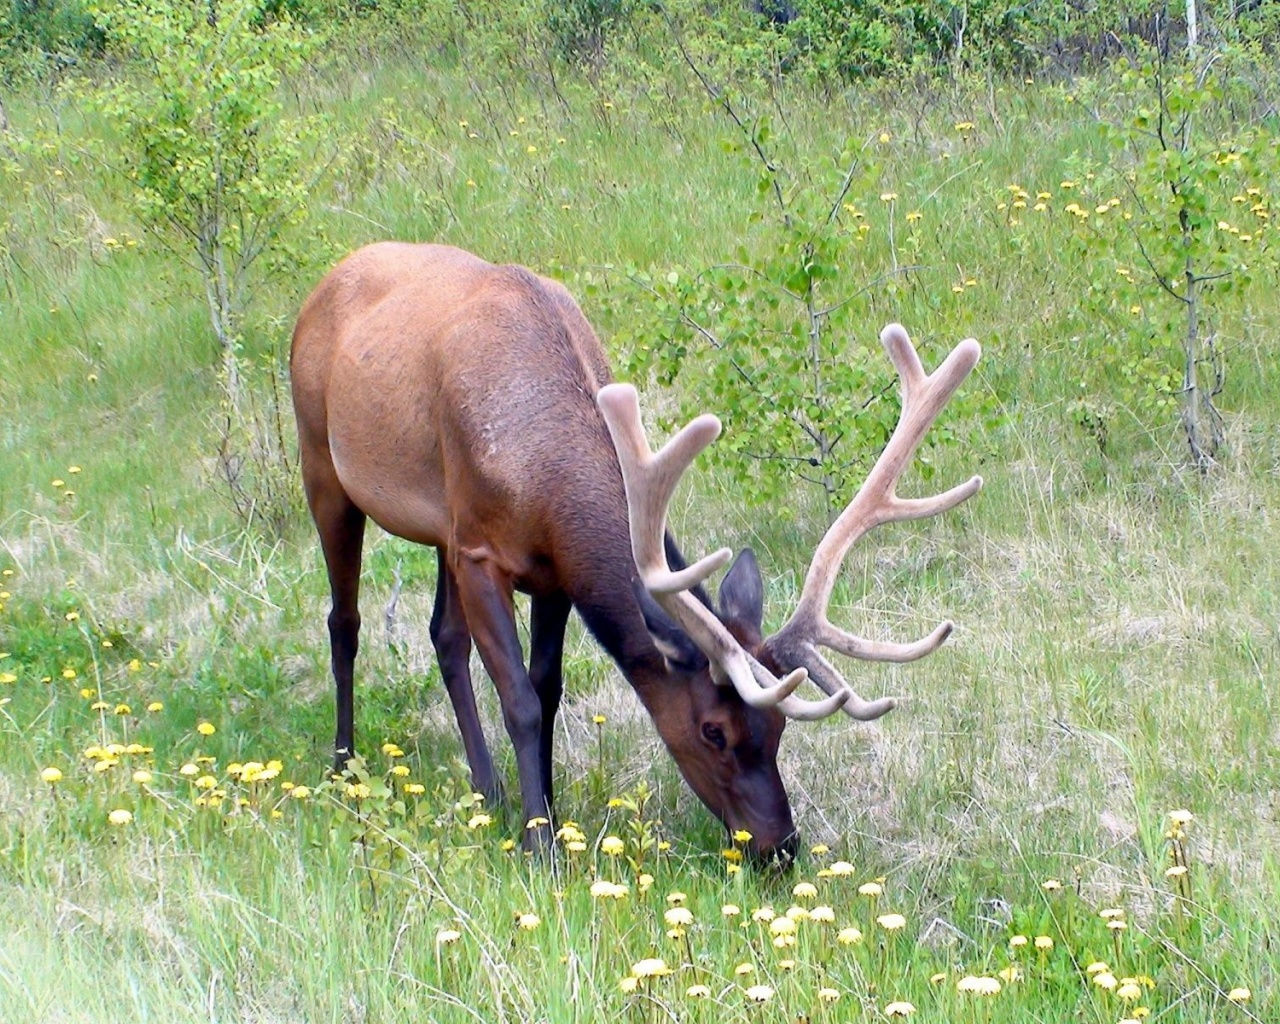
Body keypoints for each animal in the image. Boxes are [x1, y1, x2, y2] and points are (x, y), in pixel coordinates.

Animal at [290, 244, 977, 860]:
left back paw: (489, 791)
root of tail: (325, 281)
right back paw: (343, 763)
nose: (781, 846)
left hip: (439, 530)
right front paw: (541, 847)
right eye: (713, 730)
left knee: (443, 635)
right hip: (323, 465)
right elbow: (520, 702)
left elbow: (547, 687)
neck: (541, 476)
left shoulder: (546, 571)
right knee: (344, 621)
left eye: (779, 728)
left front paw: (546, 813)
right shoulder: (481, 551)